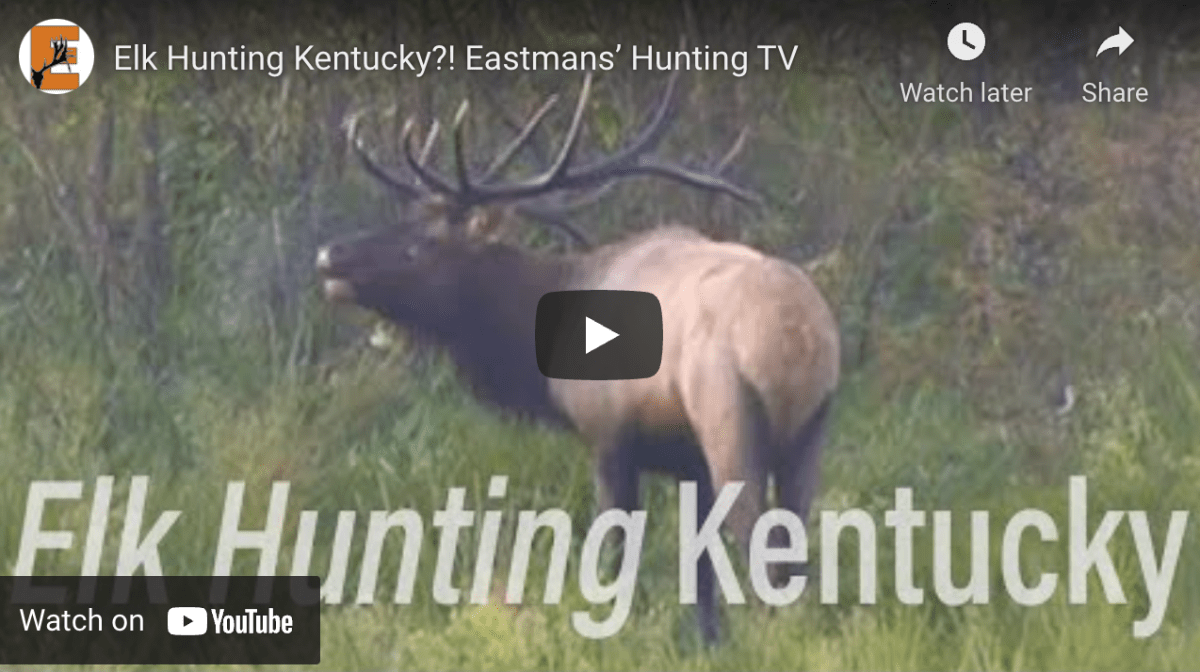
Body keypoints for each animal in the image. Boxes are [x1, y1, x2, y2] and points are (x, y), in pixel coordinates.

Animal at [315, 71, 840, 644]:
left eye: (422, 246)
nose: (330, 254)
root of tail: (799, 337)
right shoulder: (688, 465)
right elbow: (698, 574)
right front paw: (707, 642)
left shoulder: (608, 434)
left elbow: (617, 553)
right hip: (811, 432)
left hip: (728, 417)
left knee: (761, 551)